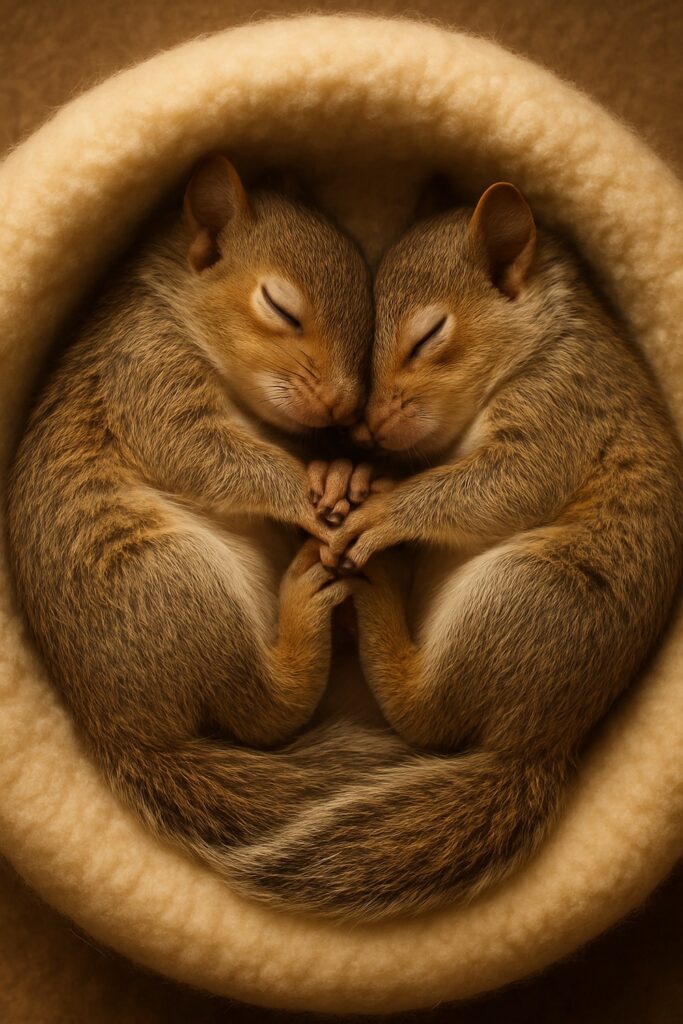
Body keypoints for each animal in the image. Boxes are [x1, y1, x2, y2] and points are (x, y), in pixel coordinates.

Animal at [7, 155, 417, 884]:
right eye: (280, 307)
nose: (345, 407)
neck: (174, 304)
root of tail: (126, 729)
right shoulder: (144, 372)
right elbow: (200, 451)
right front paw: (305, 492)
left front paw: (344, 473)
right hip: (175, 582)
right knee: (266, 710)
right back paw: (304, 609)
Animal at [227, 182, 683, 919]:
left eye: (428, 336)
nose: (361, 429)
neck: (540, 341)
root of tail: (537, 742)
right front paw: (347, 474)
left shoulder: (562, 409)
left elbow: (500, 483)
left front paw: (383, 510)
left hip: (525, 593)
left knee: (423, 712)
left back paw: (380, 593)